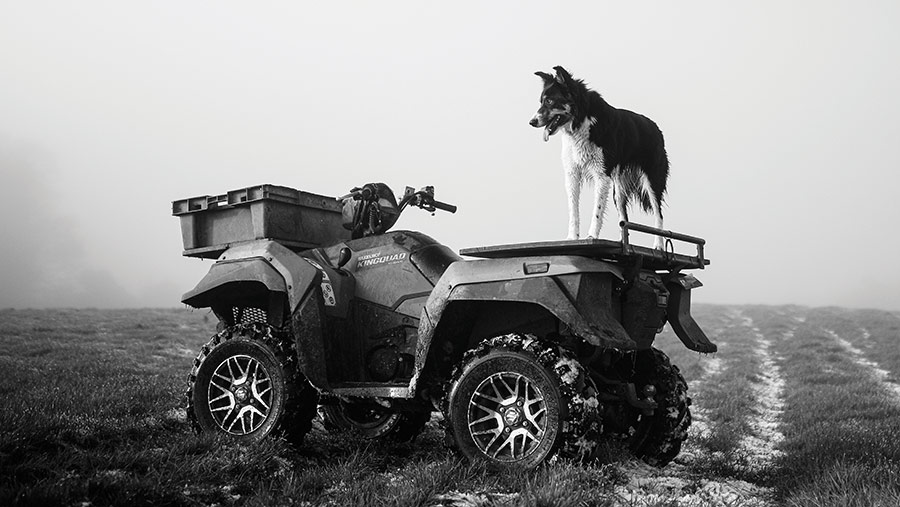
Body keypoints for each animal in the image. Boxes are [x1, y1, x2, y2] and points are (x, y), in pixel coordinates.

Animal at [528, 66, 668, 249]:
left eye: (550, 101)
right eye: (541, 101)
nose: (531, 122)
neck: (580, 123)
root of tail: (656, 129)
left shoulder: (601, 175)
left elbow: (597, 211)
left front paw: (591, 236)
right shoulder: (572, 175)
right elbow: (573, 211)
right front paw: (572, 237)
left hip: (652, 180)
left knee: (659, 214)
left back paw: (658, 245)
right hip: (618, 190)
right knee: (624, 219)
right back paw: (622, 242)